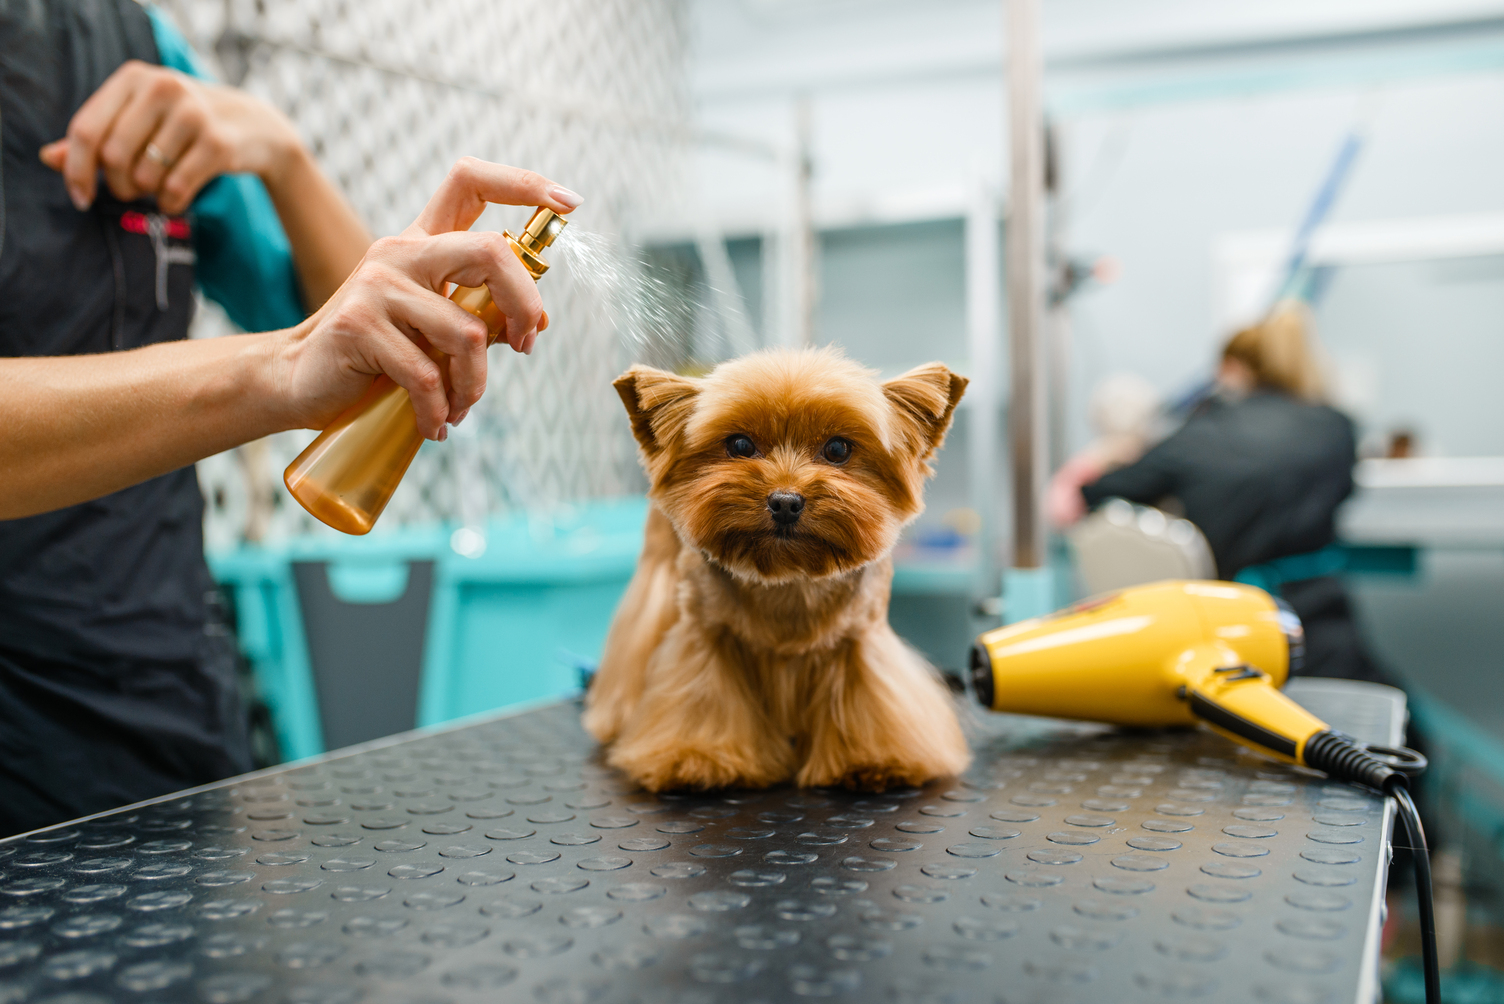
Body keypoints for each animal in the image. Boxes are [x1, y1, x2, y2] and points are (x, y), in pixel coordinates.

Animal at [580, 345, 968, 793]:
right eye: (740, 444)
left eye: (838, 450)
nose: (785, 501)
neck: (788, 575)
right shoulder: (707, 635)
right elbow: (704, 702)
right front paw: (697, 758)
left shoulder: (859, 639)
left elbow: (869, 699)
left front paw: (874, 761)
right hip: (658, 572)